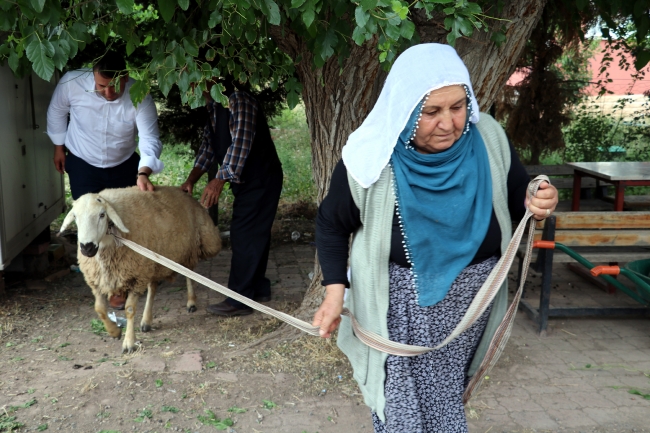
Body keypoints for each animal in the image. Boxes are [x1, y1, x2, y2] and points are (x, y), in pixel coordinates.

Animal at [58, 185, 220, 352]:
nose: (87, 247)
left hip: (191, 249)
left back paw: (191, 301)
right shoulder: (97, 280)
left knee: (189, 274)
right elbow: (100, 309)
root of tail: (183, 192)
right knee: (153, 287)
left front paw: (129, 342)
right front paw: (114, 331)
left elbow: (129, 309)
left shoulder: (136, 277)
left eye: (102, 215)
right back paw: (147, 320)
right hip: (152, 264)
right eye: (75, 217)